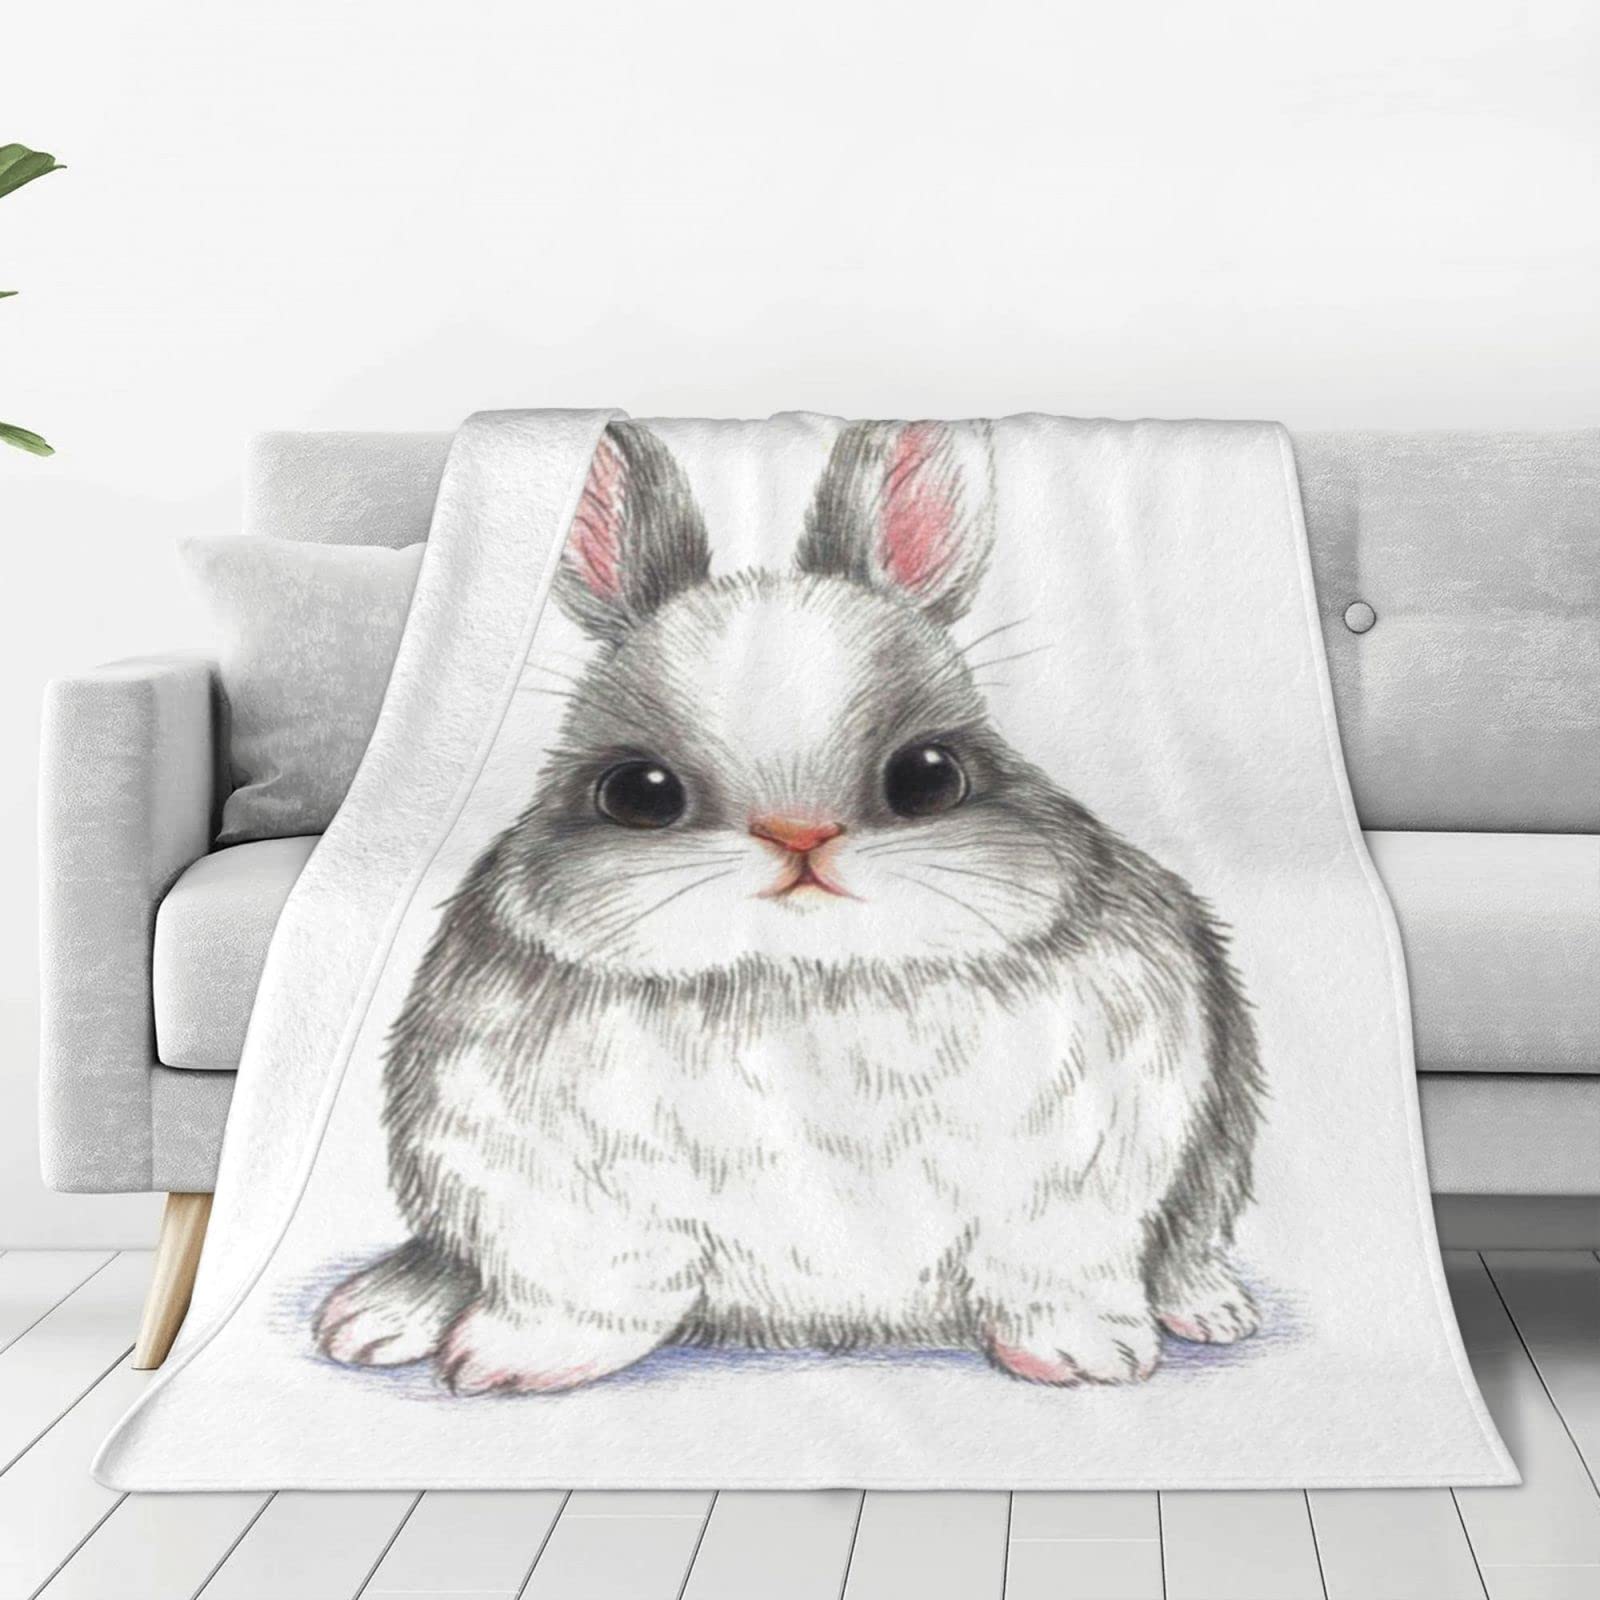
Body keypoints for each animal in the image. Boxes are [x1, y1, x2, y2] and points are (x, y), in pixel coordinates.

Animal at [314, 418, 1264, 1396]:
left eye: (930, 777)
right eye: (637, 793)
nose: (799, 835)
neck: (803, 974)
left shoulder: (1079, 1178)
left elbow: (1051, 1271)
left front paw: (1083, 1356)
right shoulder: (535, 1180)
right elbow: (582, 1285)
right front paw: (514, 1362)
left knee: (1184, 1243)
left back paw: (1210, 1308)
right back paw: (377, 1315)